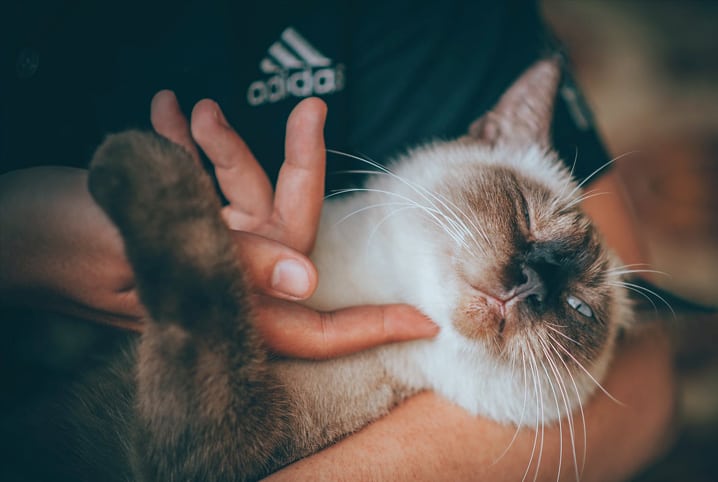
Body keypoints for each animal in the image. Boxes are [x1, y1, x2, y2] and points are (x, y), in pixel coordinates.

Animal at [69, 58, 632, 480]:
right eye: (527, 216)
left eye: (578, 307)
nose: (533, 283)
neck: (366, 283)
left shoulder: (228, 438)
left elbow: (205, 278)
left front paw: (133, 155)